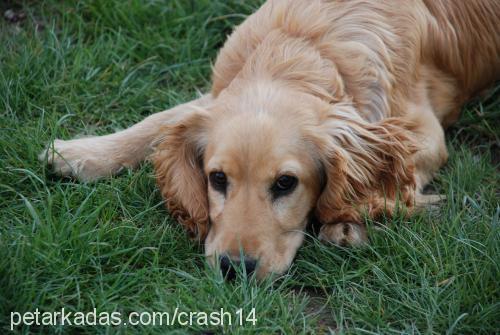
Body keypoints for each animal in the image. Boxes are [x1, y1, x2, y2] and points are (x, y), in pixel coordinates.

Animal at [42, 0, 500, 278]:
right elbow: (159, 122)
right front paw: (79, 153)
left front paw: (347, 222)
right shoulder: (215, 97)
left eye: (285, 183)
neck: (298, 53)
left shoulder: (425, 132)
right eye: (217, 179)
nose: (234, 268)